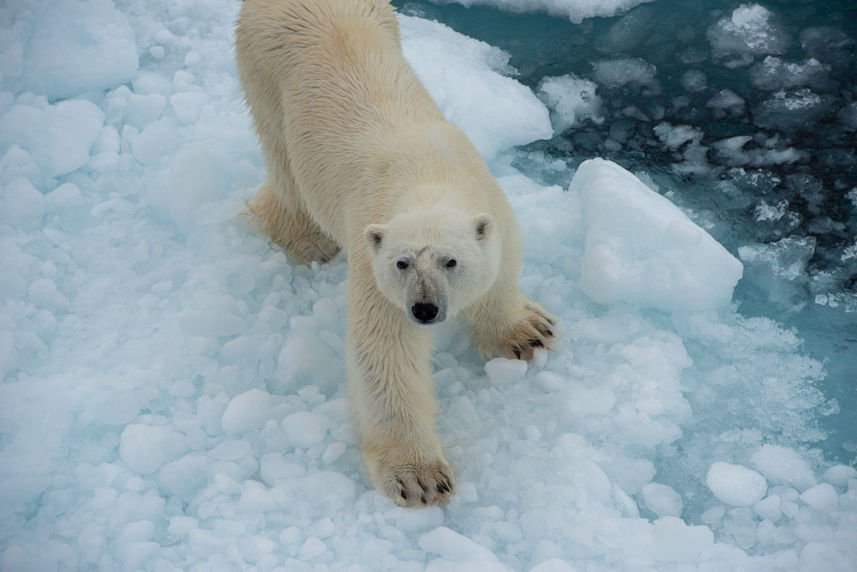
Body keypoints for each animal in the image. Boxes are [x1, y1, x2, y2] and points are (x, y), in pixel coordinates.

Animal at [234, 0, 556, 504]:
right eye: (402, 263)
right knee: (284, 166)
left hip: (383, 19)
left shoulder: (495, 209)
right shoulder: (376, 261)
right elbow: (385, 352)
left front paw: (527, 332)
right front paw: (419, 478)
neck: (429, 175)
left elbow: (500, 275)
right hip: (264, 73)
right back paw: (306, 239)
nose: (425, 309)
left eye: (451, 261)